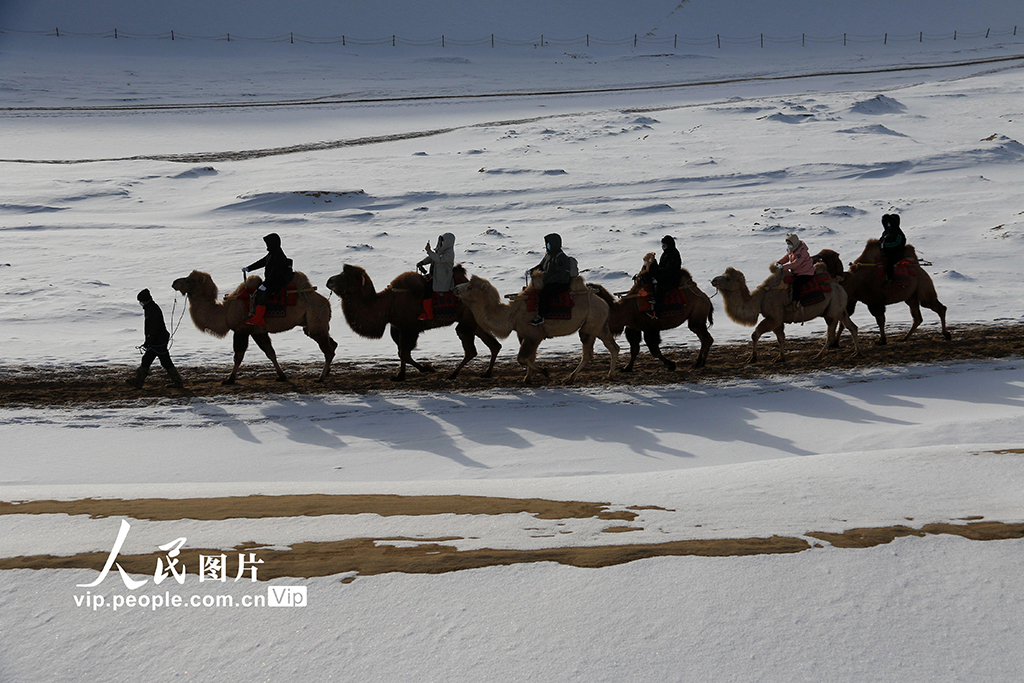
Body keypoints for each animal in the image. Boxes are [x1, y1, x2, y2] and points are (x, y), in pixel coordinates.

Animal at [172, 270, 335, 385]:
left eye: (189, 279)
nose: (174, 282)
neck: (225, 311)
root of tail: (326, 302)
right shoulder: (258, 332)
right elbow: (270, 353)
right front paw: (281, 376)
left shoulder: (241, 330)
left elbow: (238, 356)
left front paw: (229, 379)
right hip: (311, 324)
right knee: (332, 344)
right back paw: (326, 373)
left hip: (316, 319)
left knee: (327, 350)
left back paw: (320, 377)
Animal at [325, 264, 501, 382]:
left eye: (346, 277)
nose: (328, 281)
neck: (388, 304)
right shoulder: (397, 327)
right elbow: (401, 352)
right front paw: (411, 371)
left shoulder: (409, 328)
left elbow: (404, 353)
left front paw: (418, 370)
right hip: (475, 322)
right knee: (493, 345)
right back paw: (486, 373)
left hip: (466, 321)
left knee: (472, 349)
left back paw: (453, 374)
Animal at [454, 274, 614, 387]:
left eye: (469, 287)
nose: (455, 288)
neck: (512, 315)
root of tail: (602, 301)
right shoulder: (523, 334)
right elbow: (530, 357)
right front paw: (527, 378)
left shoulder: (534, 334)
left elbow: (522, 358)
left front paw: (544, 371)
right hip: (599, 325)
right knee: (613, 346)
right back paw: (609, 375)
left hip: (591, 322)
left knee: (588, 353)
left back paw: (570, 378)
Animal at [712, 264, 856, 366]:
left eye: (728, 278)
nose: (713, 280)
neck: (760, 299)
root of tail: (840, 287)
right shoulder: (778, 321)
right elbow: (781, 338)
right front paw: (780, 358)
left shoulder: (773, 318)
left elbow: (755, 335)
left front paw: (752, 358)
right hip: (839, 310)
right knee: (852, 327)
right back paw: (856, 352)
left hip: (831, 312)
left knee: (830, 334)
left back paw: (818, 355)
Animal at [815, 241, 950, 348]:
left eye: (823, 256)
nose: (813, 260)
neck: (853, 280)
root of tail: (921, 269)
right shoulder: (851, 300)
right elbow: (843, 322)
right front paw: (835, 343)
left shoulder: (875, 301)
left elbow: (880, 320)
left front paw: (882, 340)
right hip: (911, 297)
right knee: (917, 317)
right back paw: (904, 338)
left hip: (923, 289)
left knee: (939, 307)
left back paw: (946, 334)